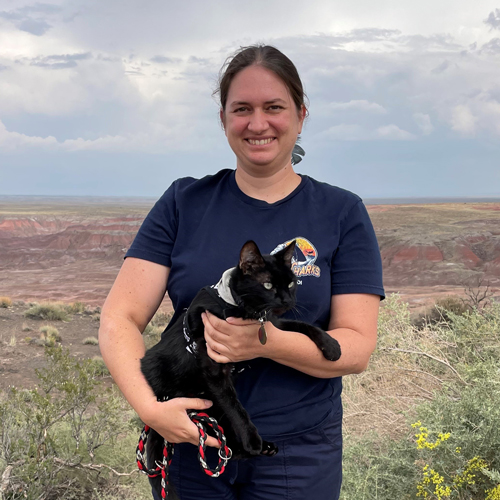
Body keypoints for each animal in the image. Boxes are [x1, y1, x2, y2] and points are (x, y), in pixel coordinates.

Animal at [143, 239, 342, 492]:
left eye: (290, 283)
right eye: (267, 285)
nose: (288, 300)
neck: (241, 308)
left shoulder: (274, 324)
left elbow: (302, 325)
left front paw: (331, 345)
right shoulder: (215, 370)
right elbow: (236, 407)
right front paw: (252, 439)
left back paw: (261, 448)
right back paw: (252, 446)